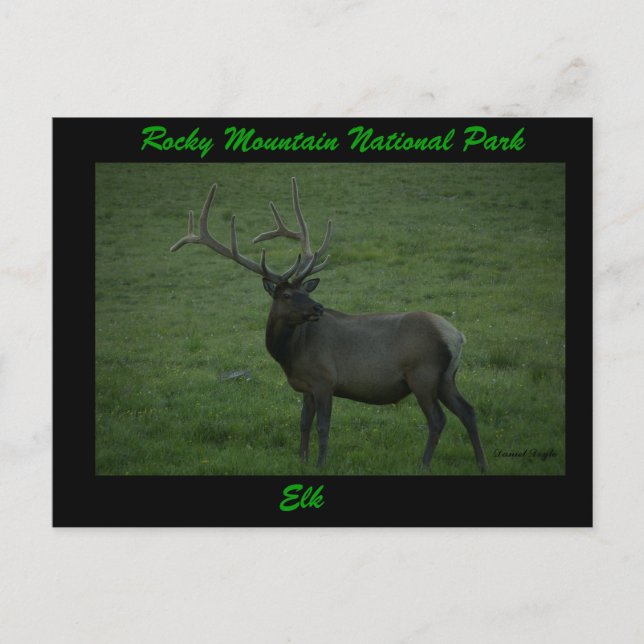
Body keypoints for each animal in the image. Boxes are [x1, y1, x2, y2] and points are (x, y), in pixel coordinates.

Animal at [171, 178, 488, 472]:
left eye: (305, 290)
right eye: (286, 294)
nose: (318, 308)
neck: (289, 355)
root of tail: (457, 336)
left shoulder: (325, 380)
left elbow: (323, 426)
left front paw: (320, 462)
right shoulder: (306, 387)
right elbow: (303, 423)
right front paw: (301, 459)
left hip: (423, 373)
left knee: (438, 420)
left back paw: (424, 464)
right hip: (447, 377)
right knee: (469, 411)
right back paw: (481, 463)